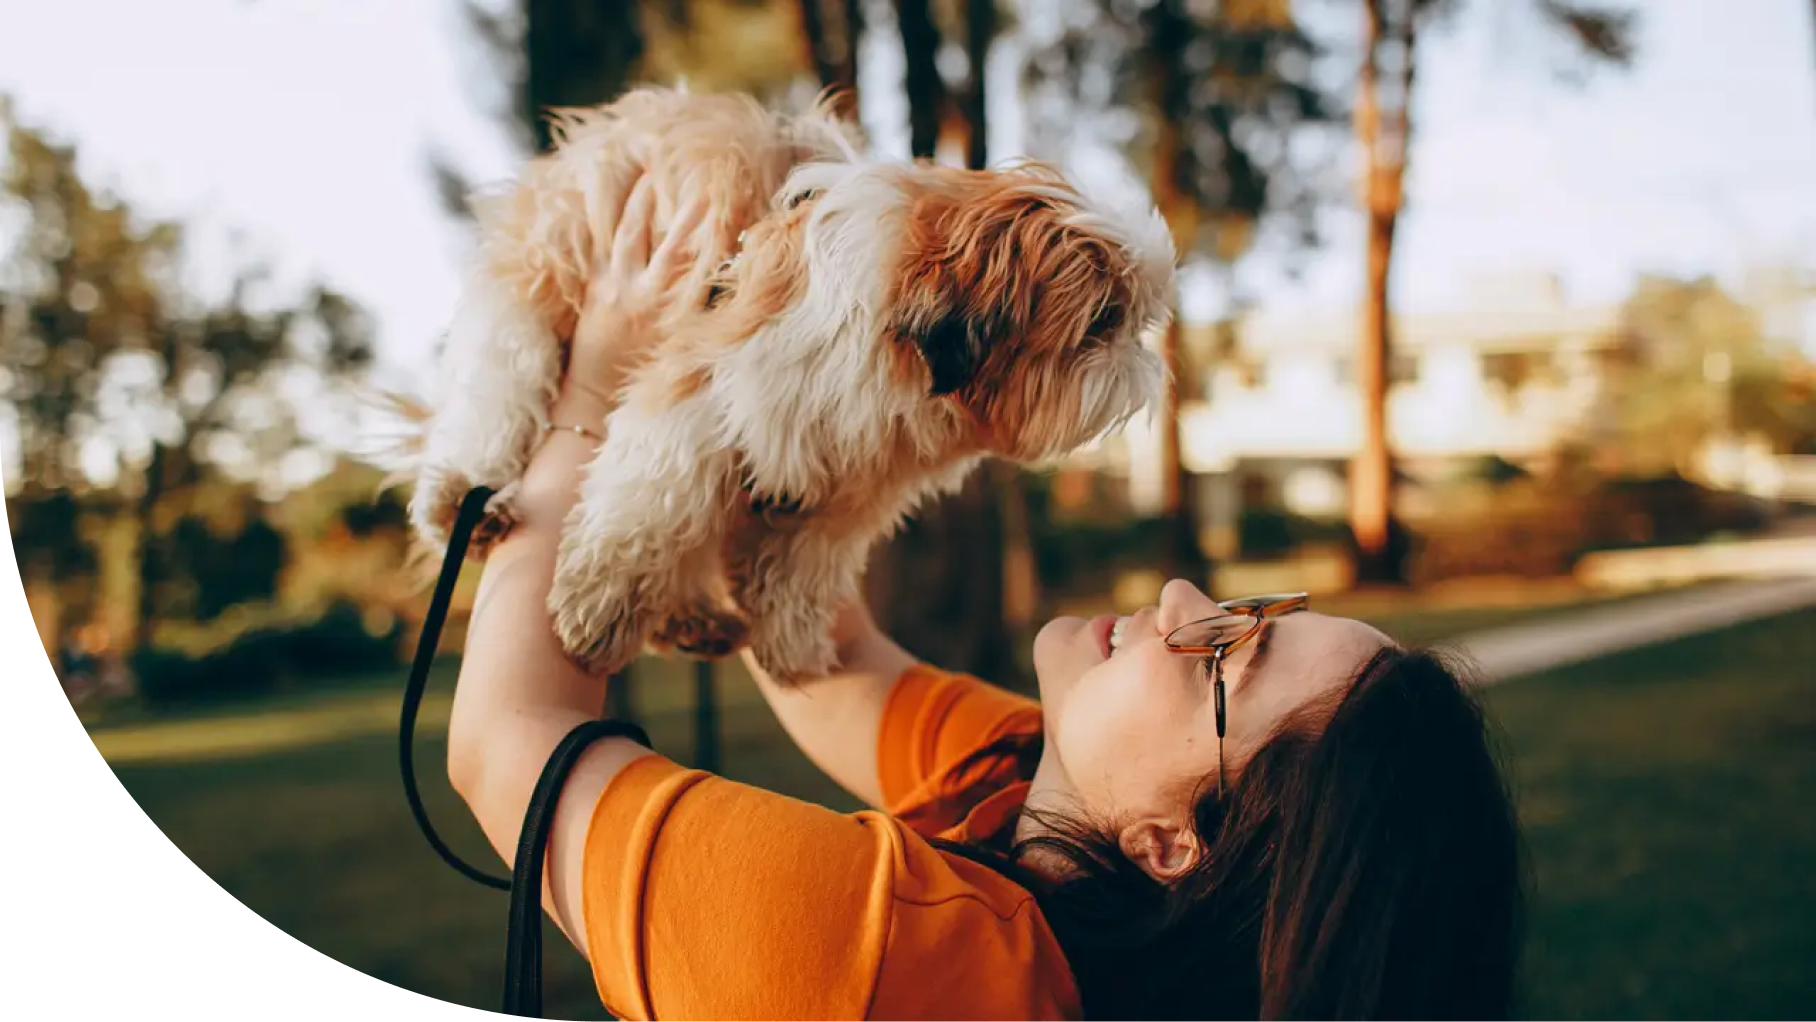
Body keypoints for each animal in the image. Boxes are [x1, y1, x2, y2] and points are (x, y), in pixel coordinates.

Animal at [372, 83, 1176, 682]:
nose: (1150, 362)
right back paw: (463, 498)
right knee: (495, 391)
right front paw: (599, 606)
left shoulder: (851, 480)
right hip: (533, 295)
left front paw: (790, 641)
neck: (889, 342)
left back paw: (689, 616)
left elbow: (802, 561)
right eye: (1103, 321)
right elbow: (648, 502)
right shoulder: (705, 385)